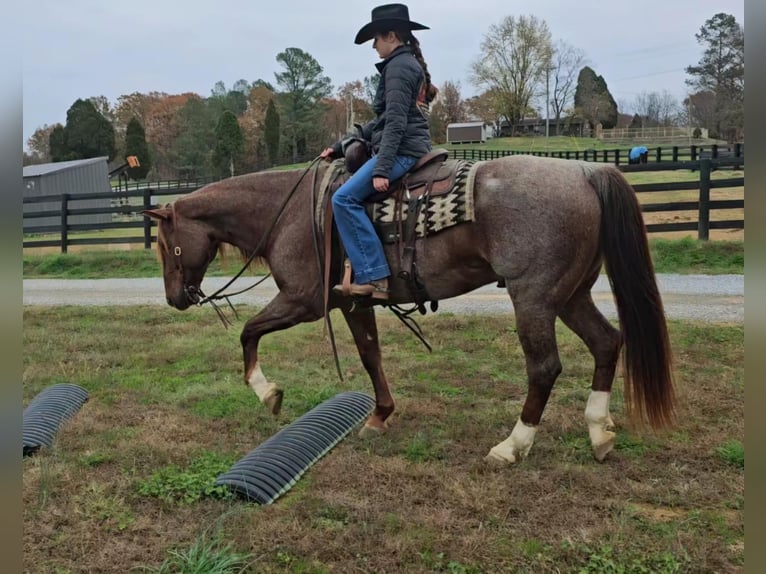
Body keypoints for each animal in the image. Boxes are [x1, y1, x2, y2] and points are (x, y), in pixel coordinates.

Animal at [143, 154, 675, 464]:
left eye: (167, 246)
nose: (175, 298)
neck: (288, 214)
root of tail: (585, 171)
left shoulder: (302, 301)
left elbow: (249, 332)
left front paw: (267, 392)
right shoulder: (351, 303)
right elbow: (370, 356)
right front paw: (380, 415)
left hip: (535, 297)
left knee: (544, 367)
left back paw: (513, 445)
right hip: (571, 294)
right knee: (606, 342)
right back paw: (599, 432)